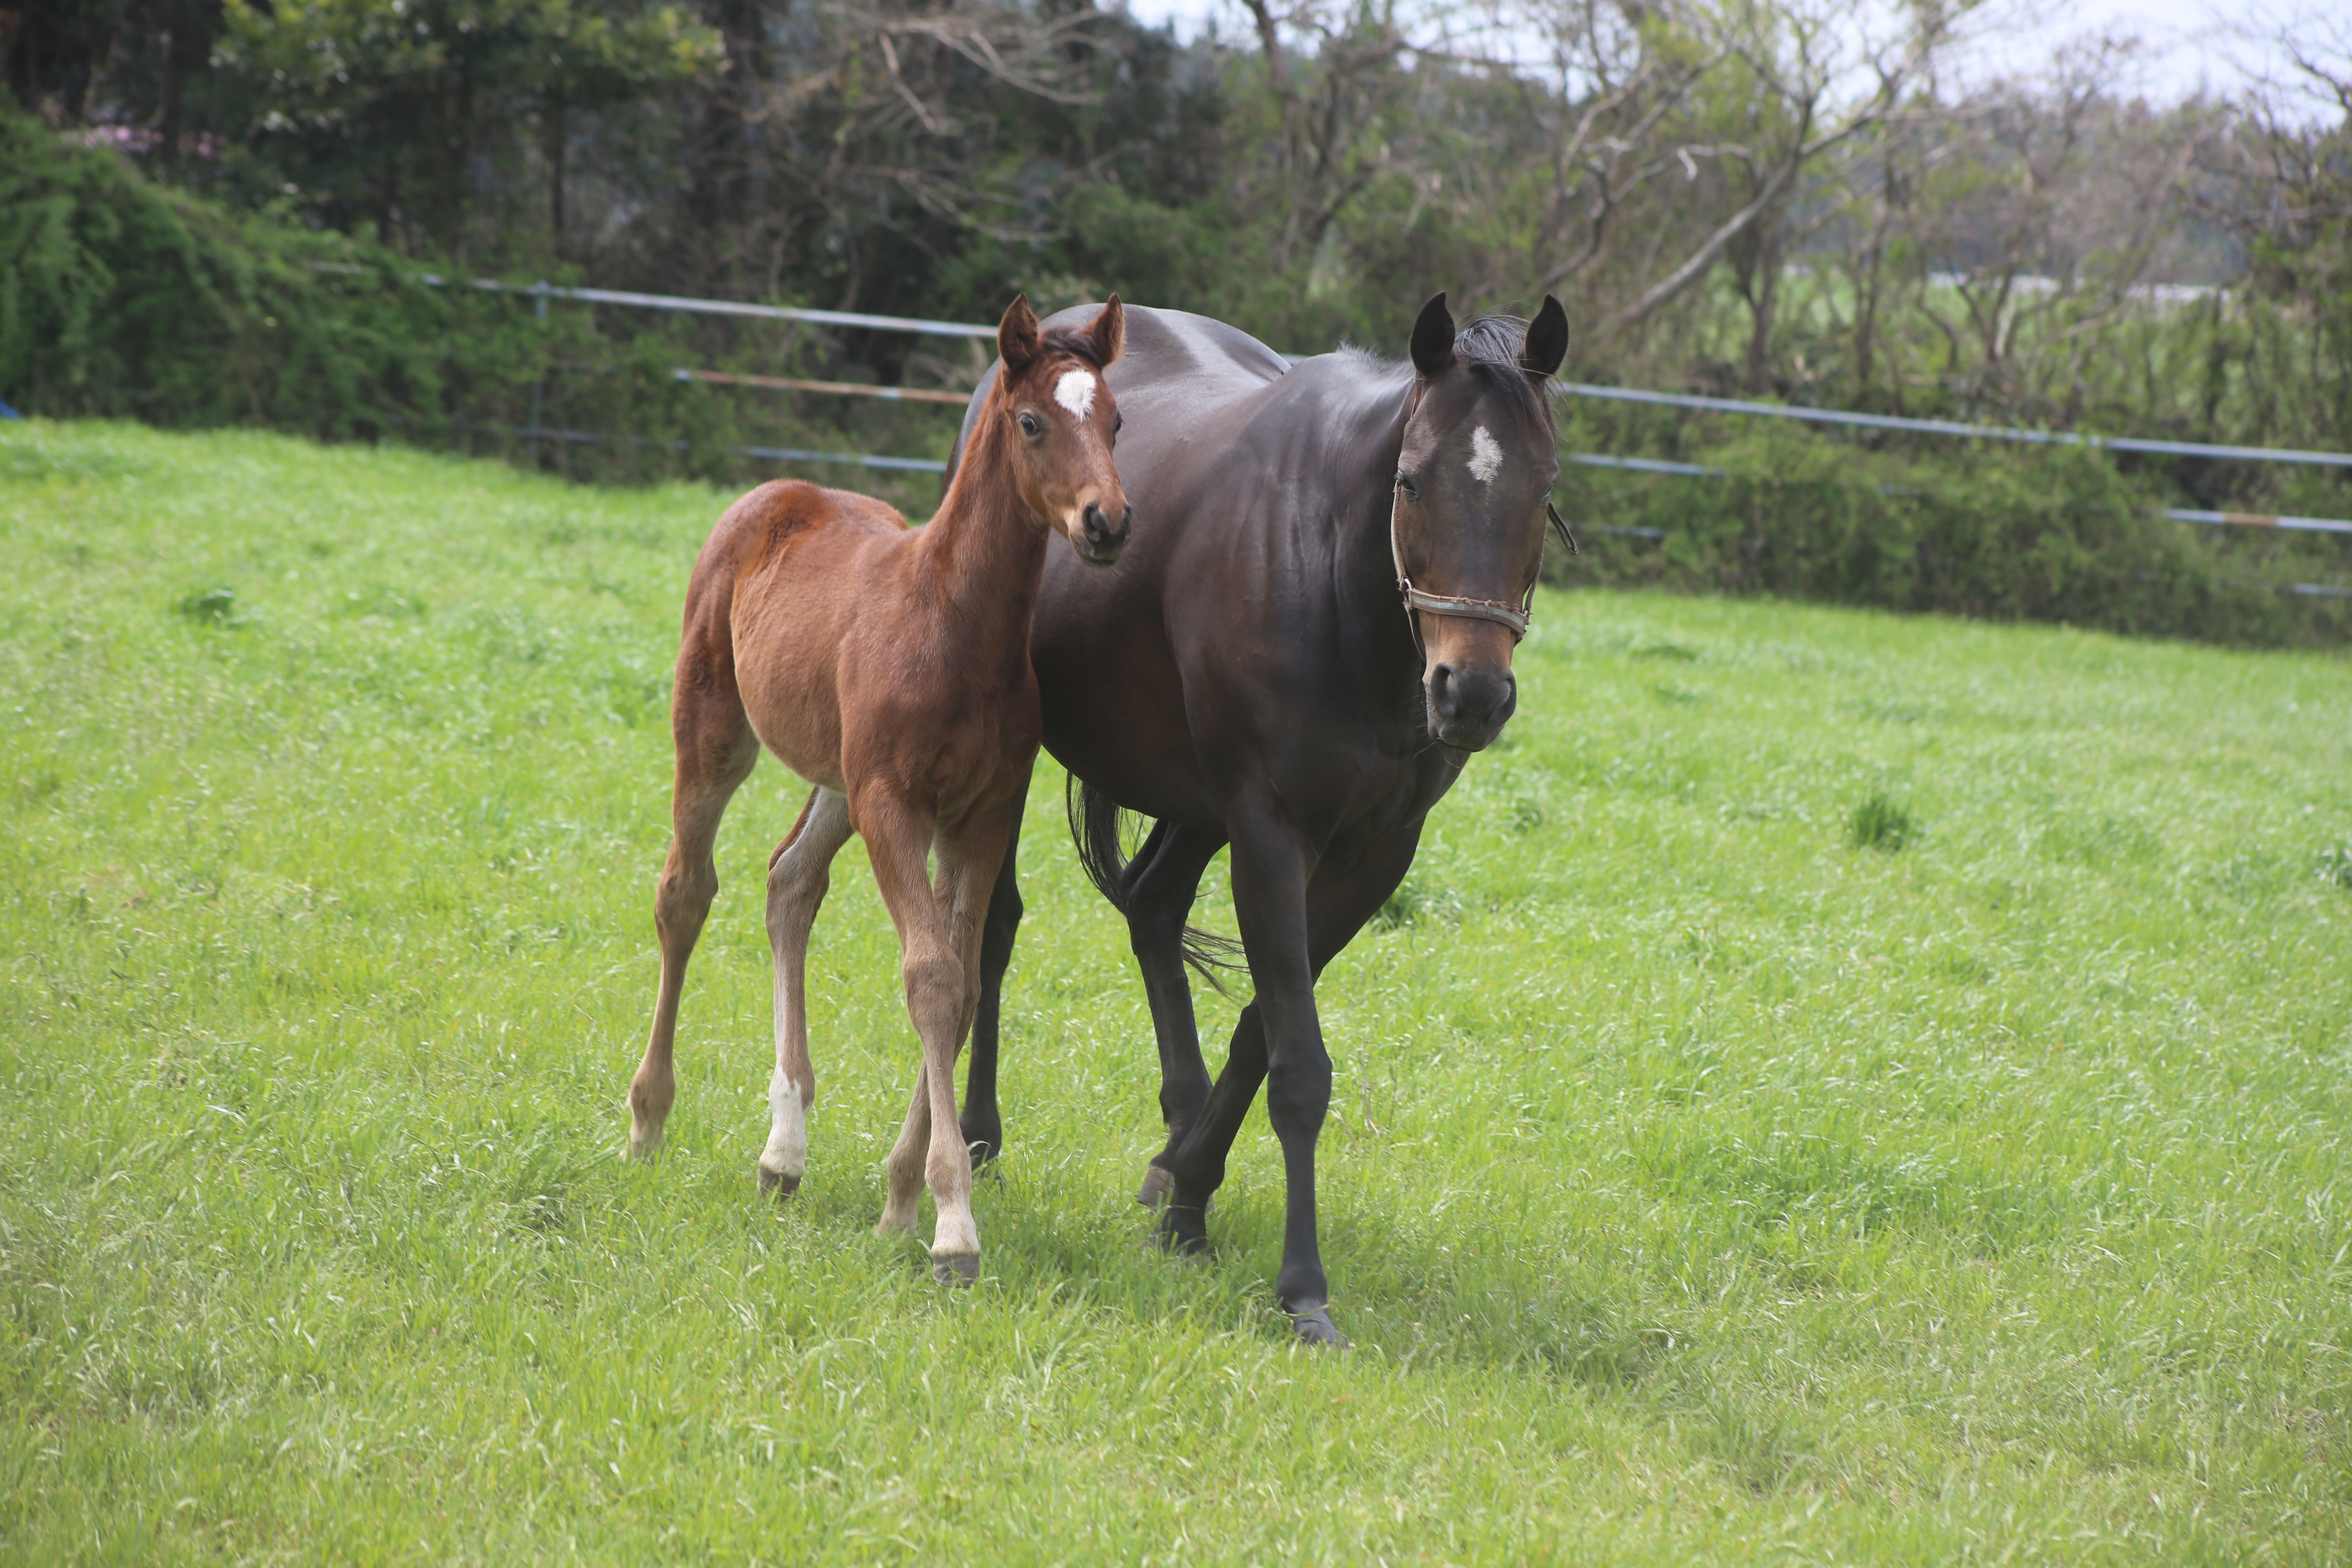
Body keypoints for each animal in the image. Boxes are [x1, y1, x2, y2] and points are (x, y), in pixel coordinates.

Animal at [630, 297, 1124, 1288]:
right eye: (1032, 422)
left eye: (1119, 422)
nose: (1108, 522)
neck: (952, 622)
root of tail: (776, 493)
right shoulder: (895, 803)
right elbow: (931, 977)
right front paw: (951, 1227)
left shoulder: (981, 814)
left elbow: (963, 986)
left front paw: (901, 1202)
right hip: (717, 732)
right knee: (686, 891)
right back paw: (649, 1120)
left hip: (835, 777)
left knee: (789, 882)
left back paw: (784, 1151)